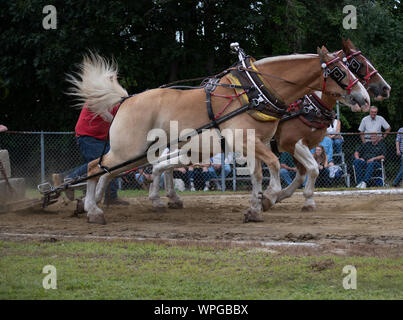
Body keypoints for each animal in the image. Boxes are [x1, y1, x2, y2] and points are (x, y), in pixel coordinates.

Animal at [65, 45, 370, 225]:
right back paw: (93, 209)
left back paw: (97, 205)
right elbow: (275, 165)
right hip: (128, 150)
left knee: (109, 171)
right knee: (95, 167)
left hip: (139, 154)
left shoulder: (258, 143)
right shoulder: (253, 141)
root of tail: (125, 100)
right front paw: (270, 198)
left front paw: (256, 207)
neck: (256, 91)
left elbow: (261, 173)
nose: (365, 98)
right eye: (340, 70)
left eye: (351, 67)